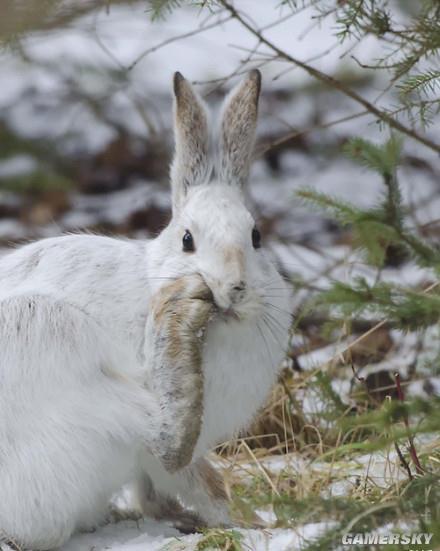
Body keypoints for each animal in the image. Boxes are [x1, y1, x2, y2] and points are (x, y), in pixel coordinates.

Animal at [0, 71, 292, 548]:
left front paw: (172, 515)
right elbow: (196, 479)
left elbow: (152, 491)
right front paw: (243, 522)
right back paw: (173, 324)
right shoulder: (169, 457)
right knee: (162, 435)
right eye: (187, 240)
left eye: (257, 237)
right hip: (42, 328)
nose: (234, 288)